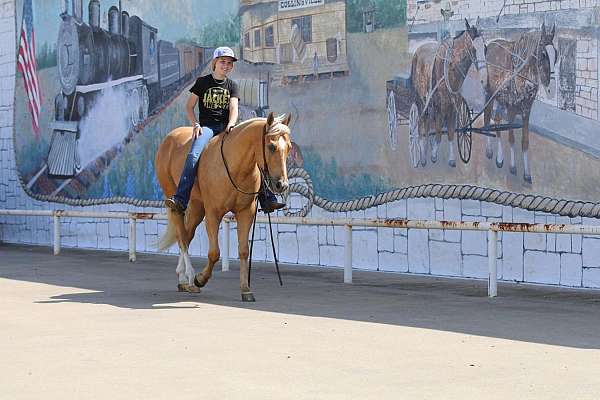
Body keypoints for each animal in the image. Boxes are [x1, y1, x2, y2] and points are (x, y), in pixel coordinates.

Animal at [156, 111, 292, 300]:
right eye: (271, 147)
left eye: (289, 148)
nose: (282, 185)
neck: (235, 167)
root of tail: (169, 138)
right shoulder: (213, 214)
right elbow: (214, 253)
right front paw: (200, 279)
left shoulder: (246, 213)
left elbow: (244, 250)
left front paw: (245, 289)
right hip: (175, 201)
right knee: (182, 237)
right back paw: (190, 277)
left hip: (197, 206)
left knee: (187, 235)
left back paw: (183, 280)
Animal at [412, 17, 488, 166]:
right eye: (474, 49)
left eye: (485, 48)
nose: (484, 78)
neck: (450, 68)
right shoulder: (439, 106)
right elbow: (439, 131)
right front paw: (433, 154)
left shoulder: (453, 106)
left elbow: (451, 132)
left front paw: (451, 158)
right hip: (420, 100)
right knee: (422, 124)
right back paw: (422, 155)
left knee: (429, 124)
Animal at [482, 23, 556, 183]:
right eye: (543, 54)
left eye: (556, 54)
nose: (551, 89)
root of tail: (490, 44)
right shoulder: (511, 109)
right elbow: (511, 138)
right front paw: (513, 167)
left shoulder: (527, 110)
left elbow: (525, 142)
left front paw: (527, 173)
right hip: (489, 94)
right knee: (487, 118)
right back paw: (490, 151)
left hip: (499, 98)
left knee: (497, 120)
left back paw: (499, 158)